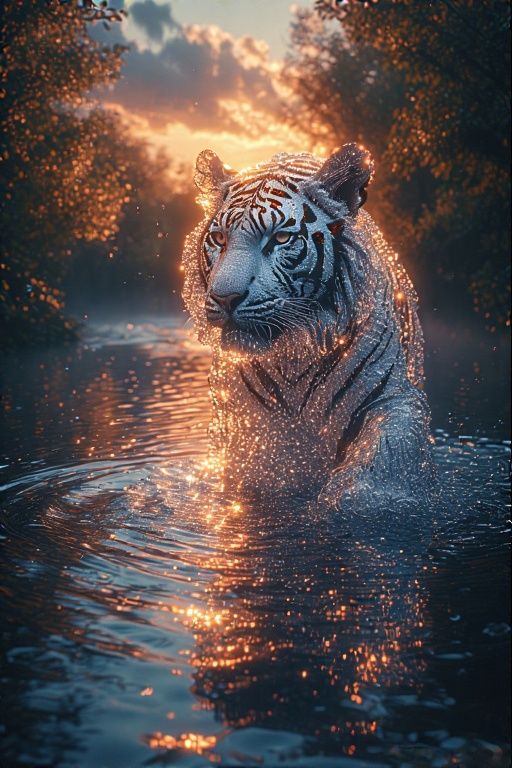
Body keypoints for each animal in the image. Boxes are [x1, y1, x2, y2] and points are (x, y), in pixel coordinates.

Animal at [182, 143, 433, 508]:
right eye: (218, 238)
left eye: (280, 238)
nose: (225, 298)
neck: (295, 353)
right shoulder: (249, 425)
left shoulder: (392, 398)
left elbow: (378, 463)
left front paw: (346, 501)